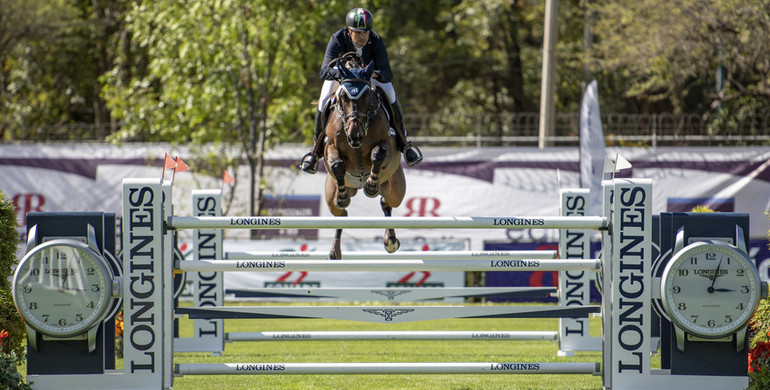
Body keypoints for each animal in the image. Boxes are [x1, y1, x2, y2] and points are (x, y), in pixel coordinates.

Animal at [318, 51, 404, 258]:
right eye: (343, 96)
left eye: (367, 96)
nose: (354, 136)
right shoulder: (330, 146)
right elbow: (336, 164)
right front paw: (342, 196)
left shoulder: (386, 143)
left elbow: (378, 154)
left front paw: (371, 185)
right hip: (331, 196)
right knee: (341, 213)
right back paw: (335, 250)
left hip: (396, 189)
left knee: (387, 202)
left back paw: (390, 241)